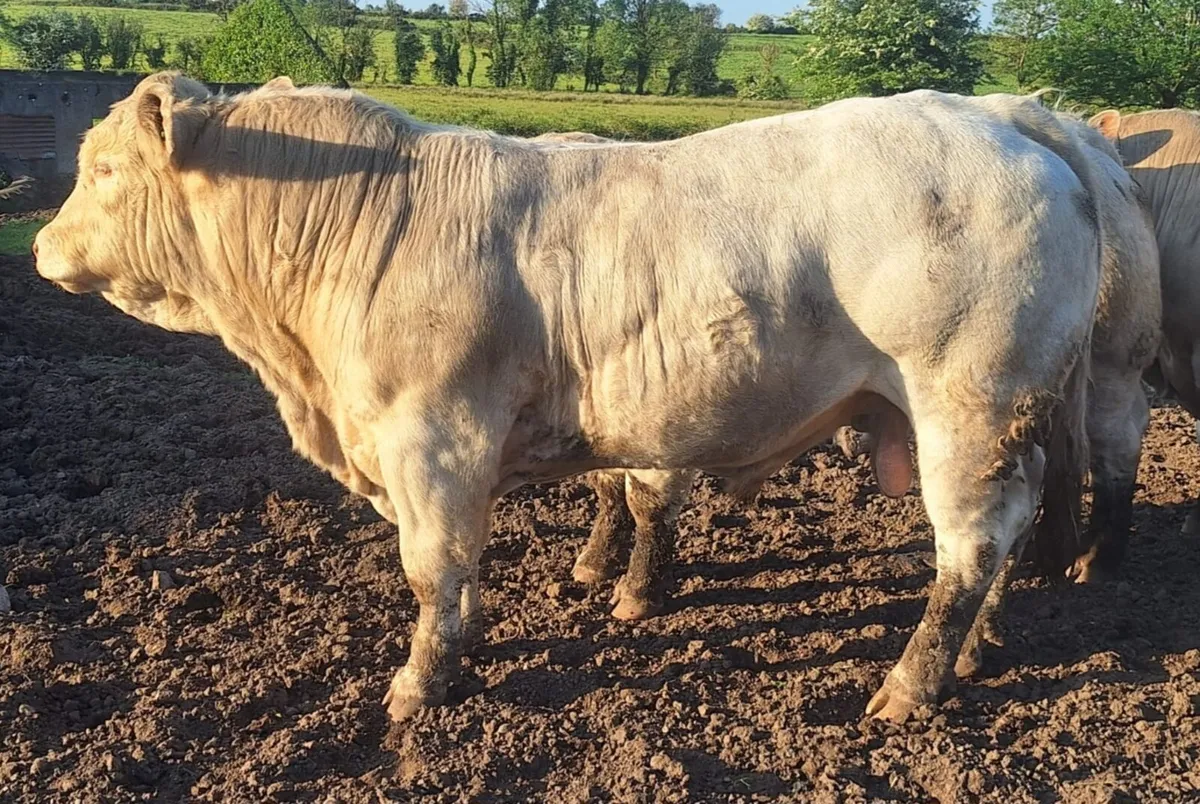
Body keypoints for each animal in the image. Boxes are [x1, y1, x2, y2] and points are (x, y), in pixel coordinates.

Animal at [34, 72, 1101, 724]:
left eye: (102, 169)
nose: (40, 245)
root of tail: (1000, 111)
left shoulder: (437, 440)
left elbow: (436, 571)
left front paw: (420, 686)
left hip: (966, 402)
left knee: (972, 543)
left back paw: (911, 686)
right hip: (1001, 418)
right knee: (1013, 523)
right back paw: (976, 651)